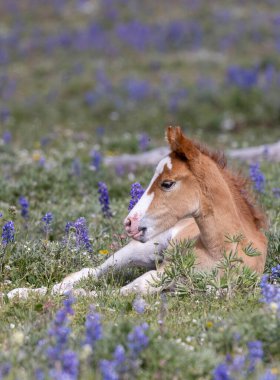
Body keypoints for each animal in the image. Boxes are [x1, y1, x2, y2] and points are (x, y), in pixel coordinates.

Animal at [7, 126, 268, 298]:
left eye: (167, 183)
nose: (129, 223)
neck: (218, 250)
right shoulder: (162, 272)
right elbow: (112, 292)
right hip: (141, 249)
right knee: (90, 271)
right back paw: (19, 292)